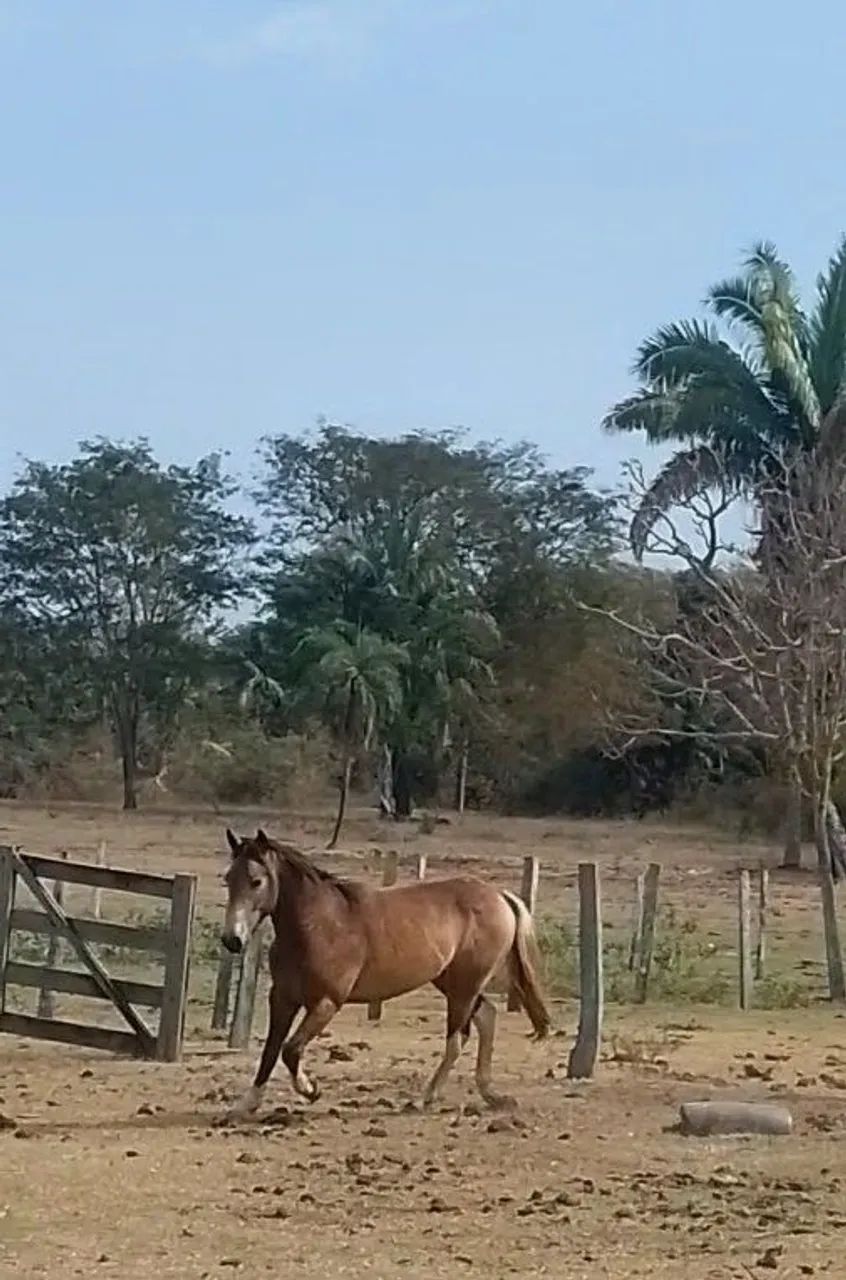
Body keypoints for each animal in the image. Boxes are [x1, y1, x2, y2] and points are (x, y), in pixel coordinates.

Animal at [220, 828, 550, 1118]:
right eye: (228, 879)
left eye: (256, 881)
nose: (232, 940)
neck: (318, 925)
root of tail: (499, 895)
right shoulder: (283, 999)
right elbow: (271, 1050)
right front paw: (246, 1105)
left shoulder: (327, 1002)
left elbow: (290, 1049)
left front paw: (311, 1089)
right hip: (453, 982)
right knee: (486, 1017)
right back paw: (491, 1094)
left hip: (464, 986)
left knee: (457, 1040)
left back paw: (425, 1099)